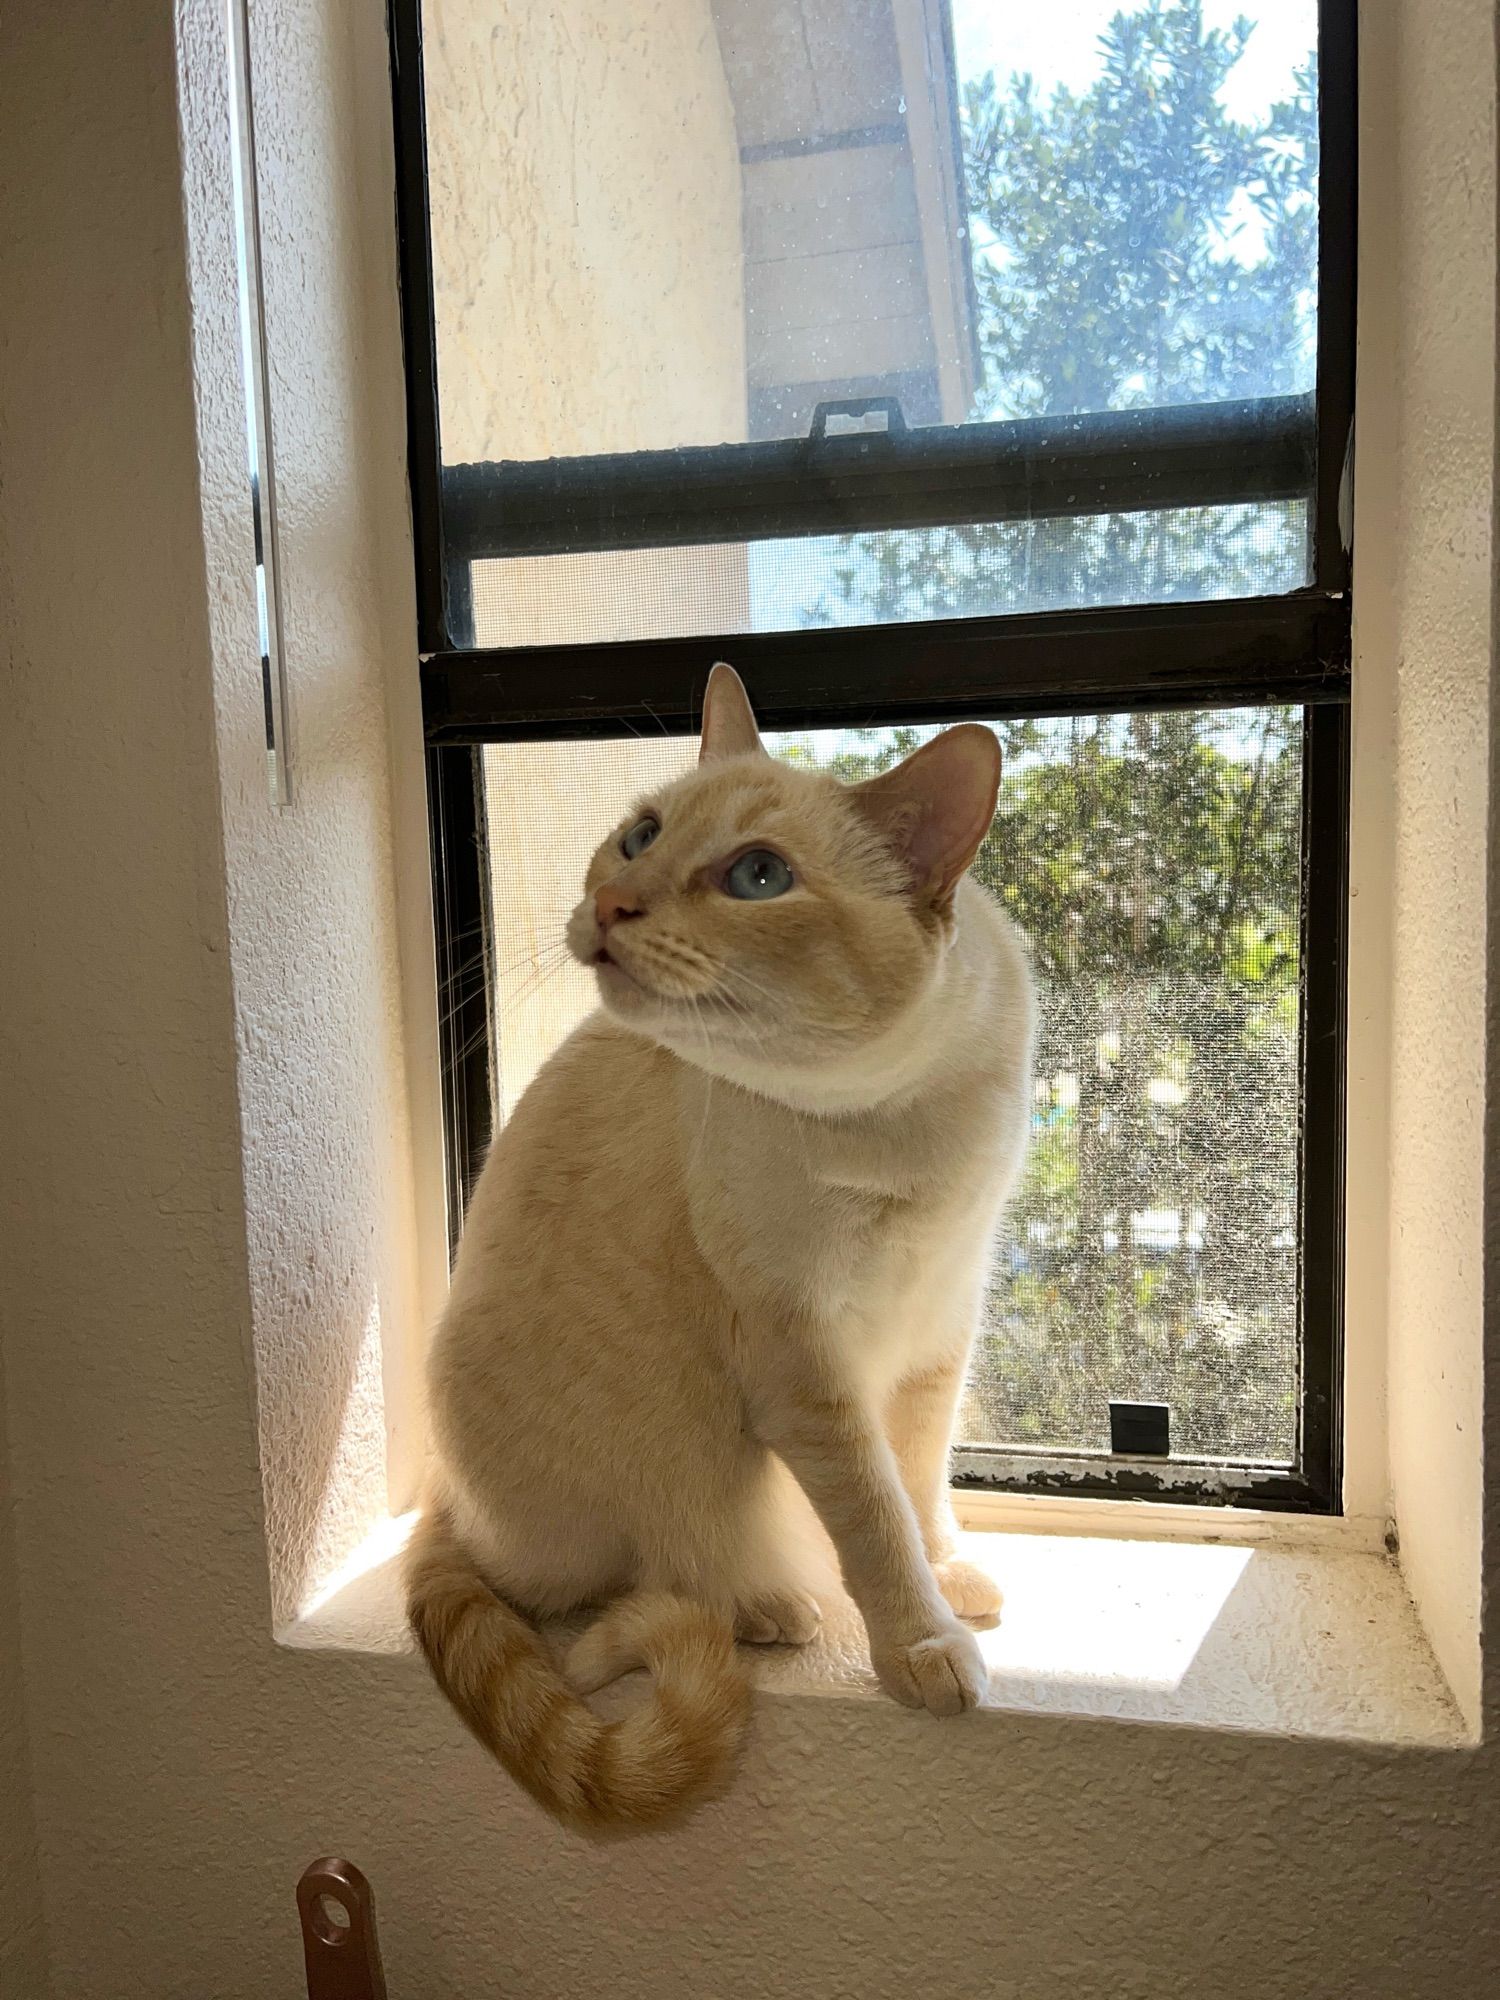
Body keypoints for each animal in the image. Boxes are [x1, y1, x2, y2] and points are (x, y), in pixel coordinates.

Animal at [406, 668, 1040, 1832]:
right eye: (641, 836)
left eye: (758, 877)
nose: (616, 901)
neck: (895, 1121)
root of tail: (450, 1503)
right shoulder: (806, 1368)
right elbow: (876, 1518)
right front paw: (925, 1645)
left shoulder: (941, 1322)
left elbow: (923, 1479)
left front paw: (952, 1575)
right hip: (645, 1473)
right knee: (632, 1579)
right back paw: (771, 1606)